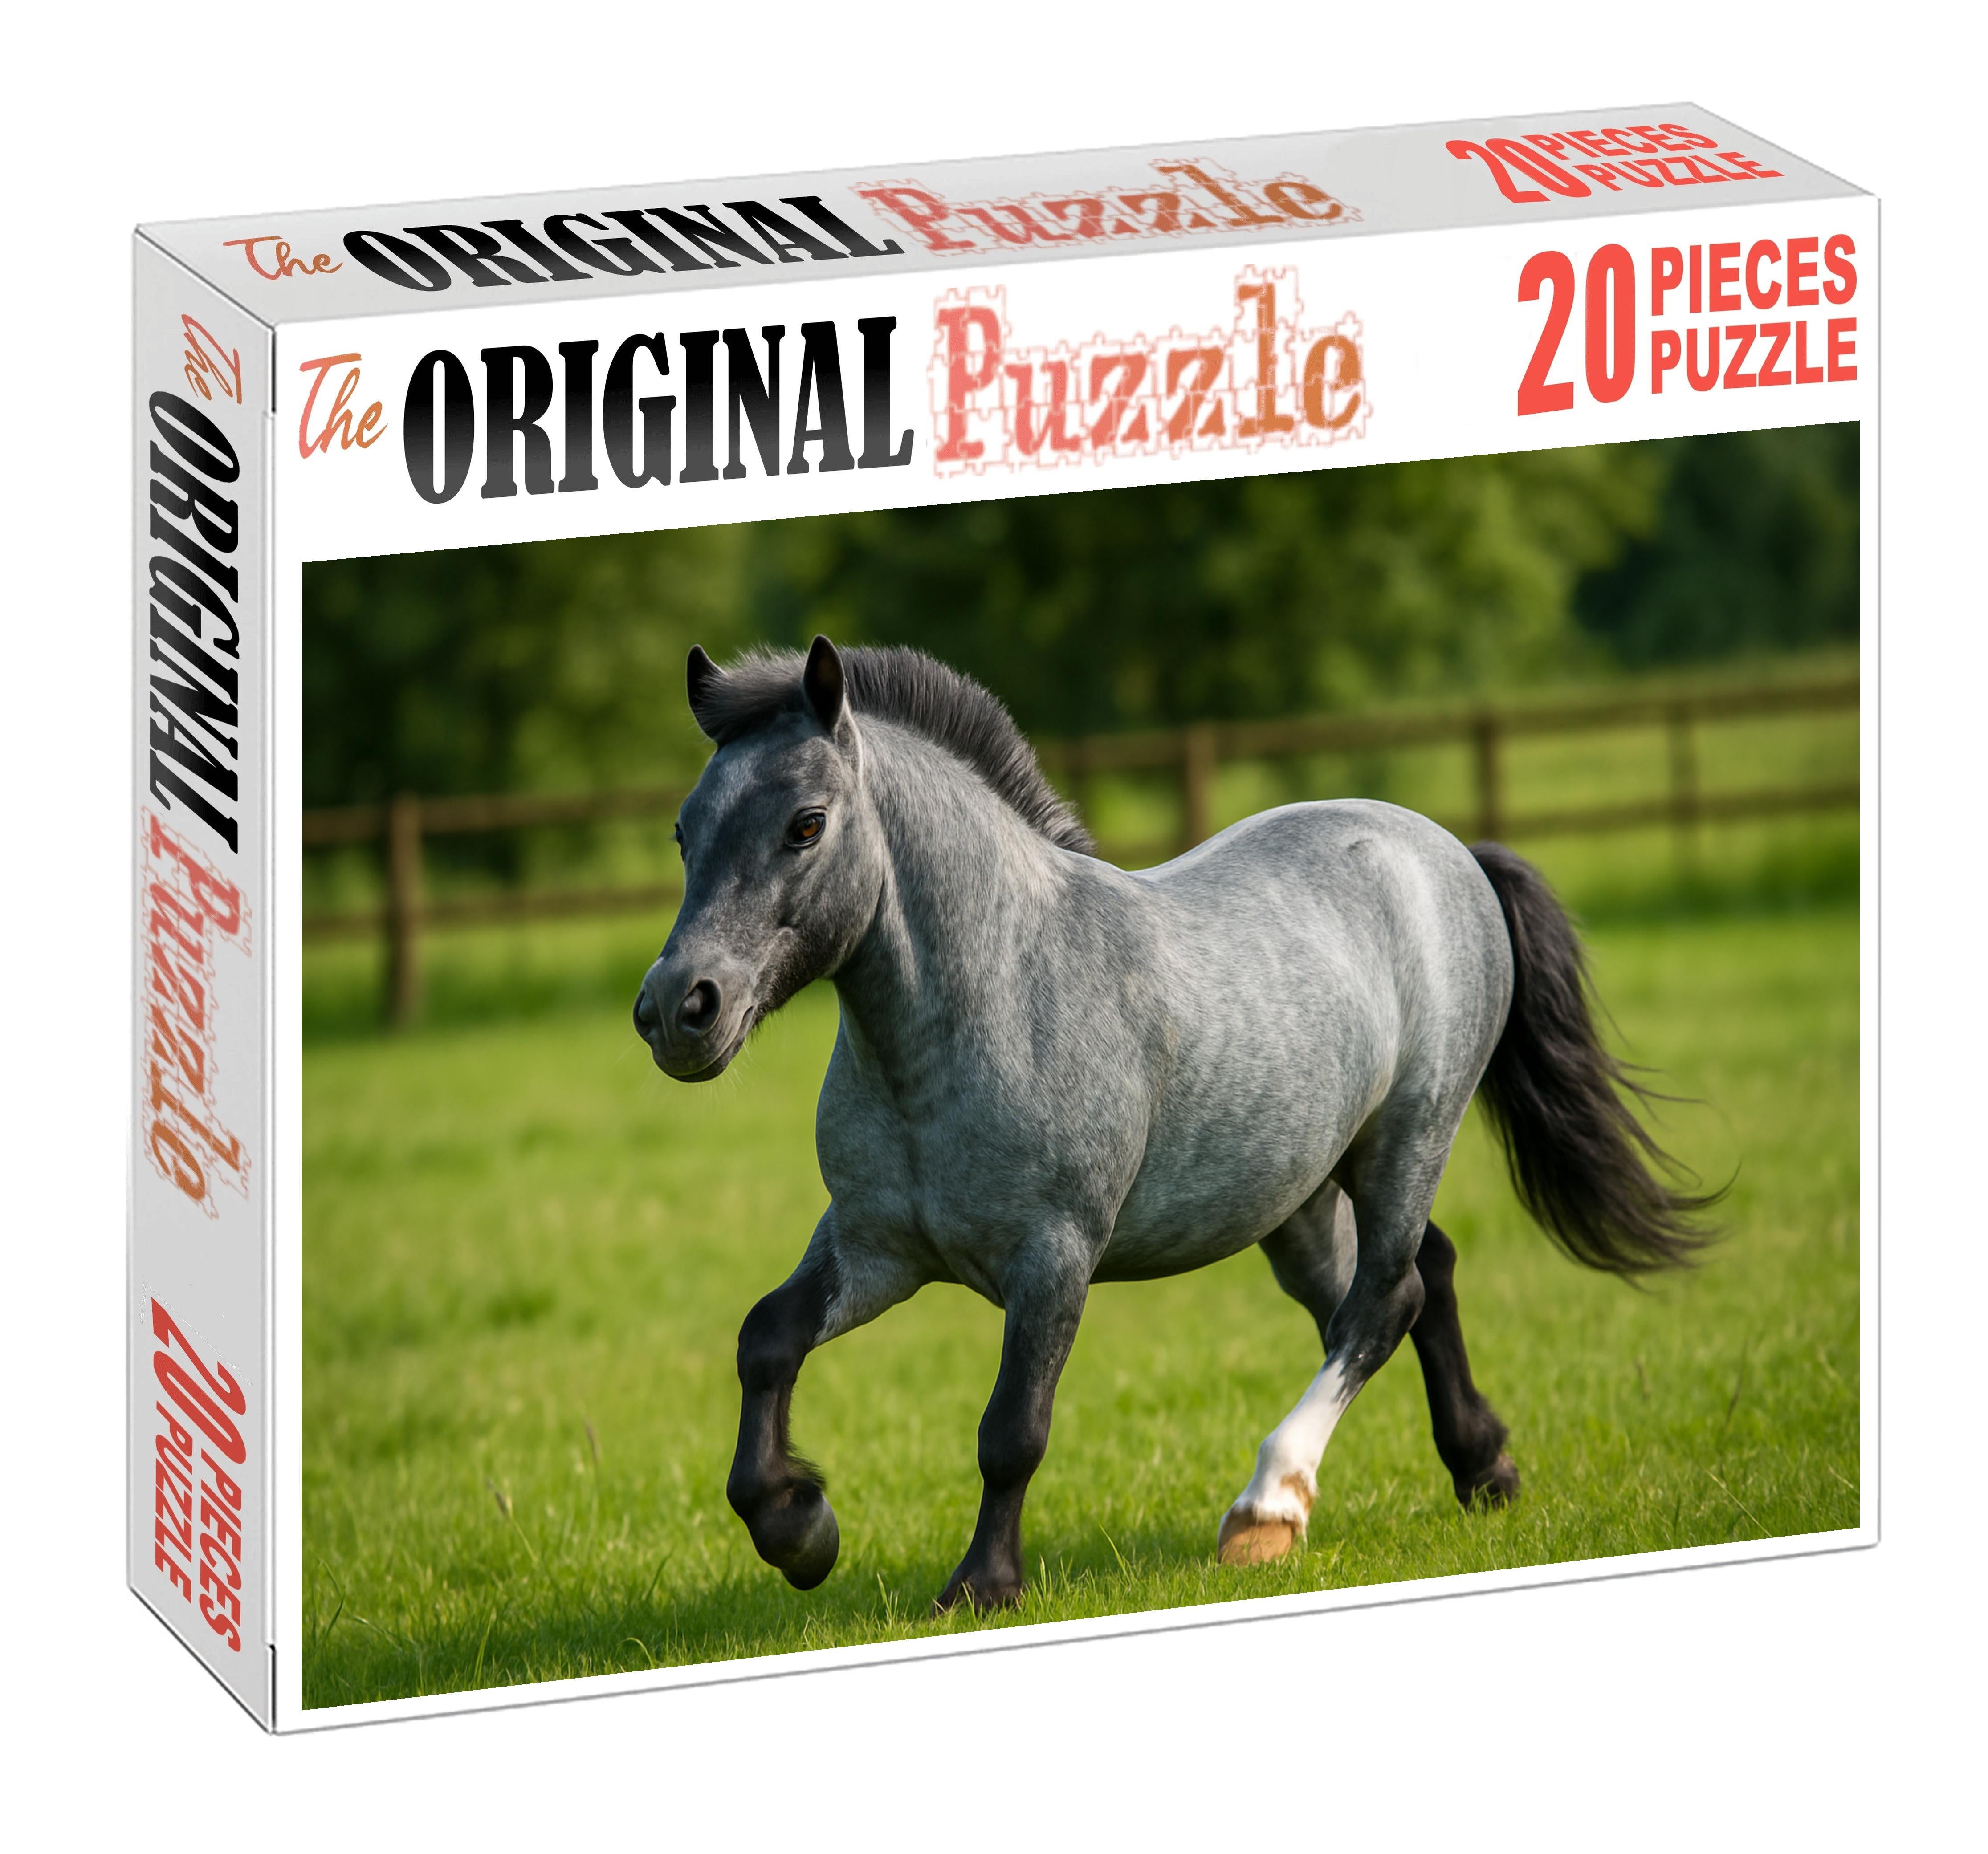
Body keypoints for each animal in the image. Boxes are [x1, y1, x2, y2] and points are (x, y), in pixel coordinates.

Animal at [633, 636, 1712, 1611]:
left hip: (1412, 1134)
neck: (990, 997)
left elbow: (1011, 1430)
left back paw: (1267, 1510)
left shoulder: (1053, 1257)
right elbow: (766, 1337)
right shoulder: (876, 1246)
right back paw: (1482, 1471)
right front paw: (799, 1529)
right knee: (1410, 1283)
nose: (678, 1010)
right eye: (684, 831)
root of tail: (1448, 852)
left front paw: (980, 1586)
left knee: (1383, 1302)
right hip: (1301, 1190)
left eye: (806, 824)